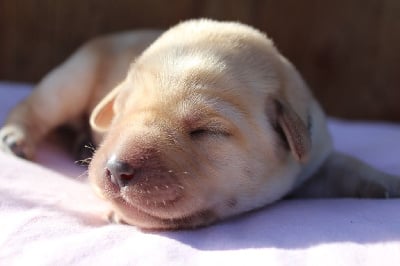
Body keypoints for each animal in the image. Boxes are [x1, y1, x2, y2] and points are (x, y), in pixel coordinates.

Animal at [0, 19, 400, 230]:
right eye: (121, 115)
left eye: (205, 131)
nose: (114, 169)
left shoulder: (312, 162)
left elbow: (346, 165)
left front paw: (385, 182)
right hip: (69, 80)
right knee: (34, 105)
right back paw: (17, 137)